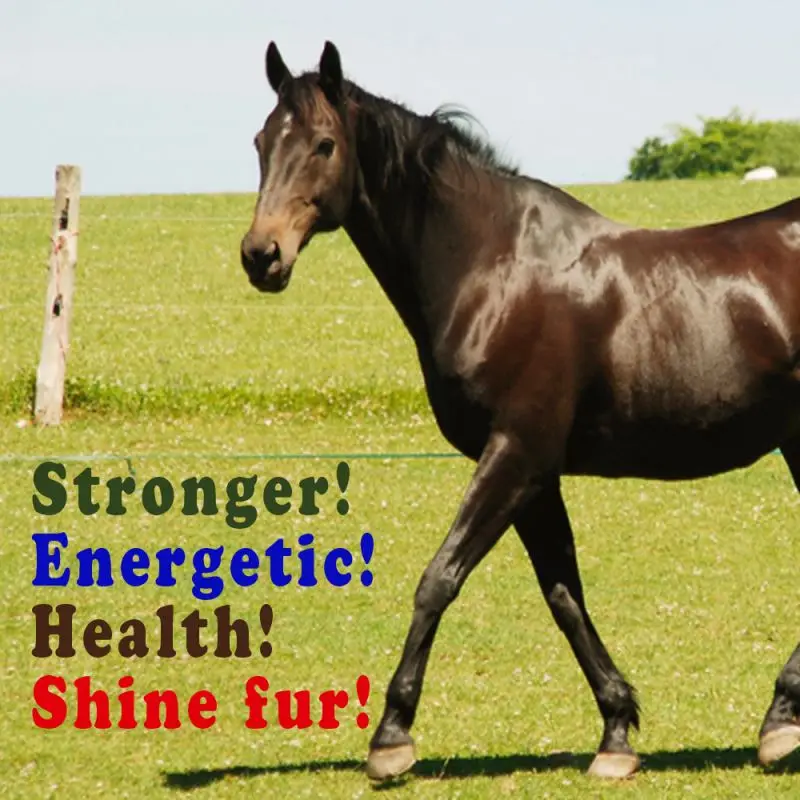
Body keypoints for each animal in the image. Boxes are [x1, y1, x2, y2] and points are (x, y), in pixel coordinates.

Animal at [240, 40, 800, 781]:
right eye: (261, 142)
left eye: (324, 144)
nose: (261, 255)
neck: (494, 268)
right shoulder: (537, 474)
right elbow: (563, 595)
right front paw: (616, 733)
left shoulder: (516, 455)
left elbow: (439, 579)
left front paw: (391, 738)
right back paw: (780, 719)